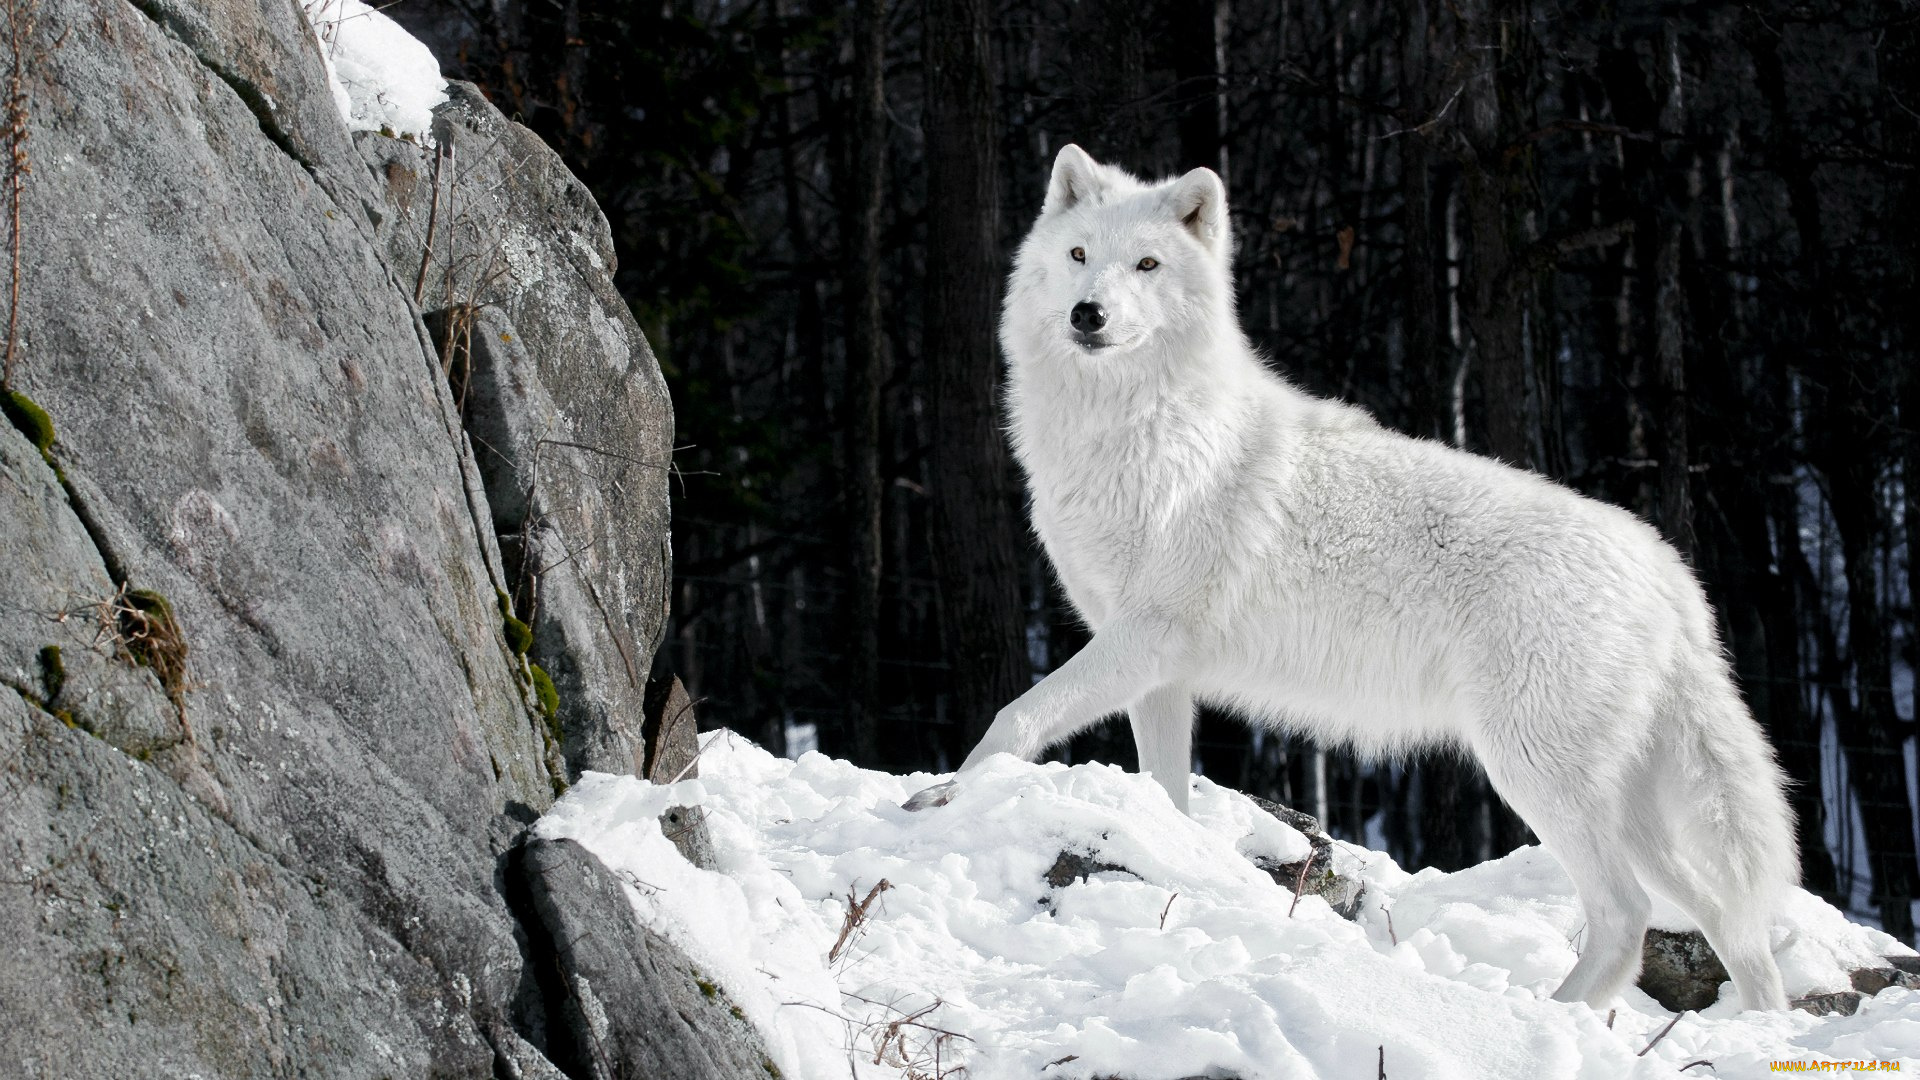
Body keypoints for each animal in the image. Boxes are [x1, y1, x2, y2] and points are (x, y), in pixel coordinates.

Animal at [902, 143, 1797, 1006]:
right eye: (1080, 255)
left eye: (1147, 265)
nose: (1088, 314)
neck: (1135, 431)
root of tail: (1668, 568)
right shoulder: (1159, 674)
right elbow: (1167, 793)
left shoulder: (1143, 639)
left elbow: (1012, 718)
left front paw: (938, 799)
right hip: (1625, 806)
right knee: (1727, 919)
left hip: (1534, 773)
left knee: (1627, 915)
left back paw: (1546, 1018)